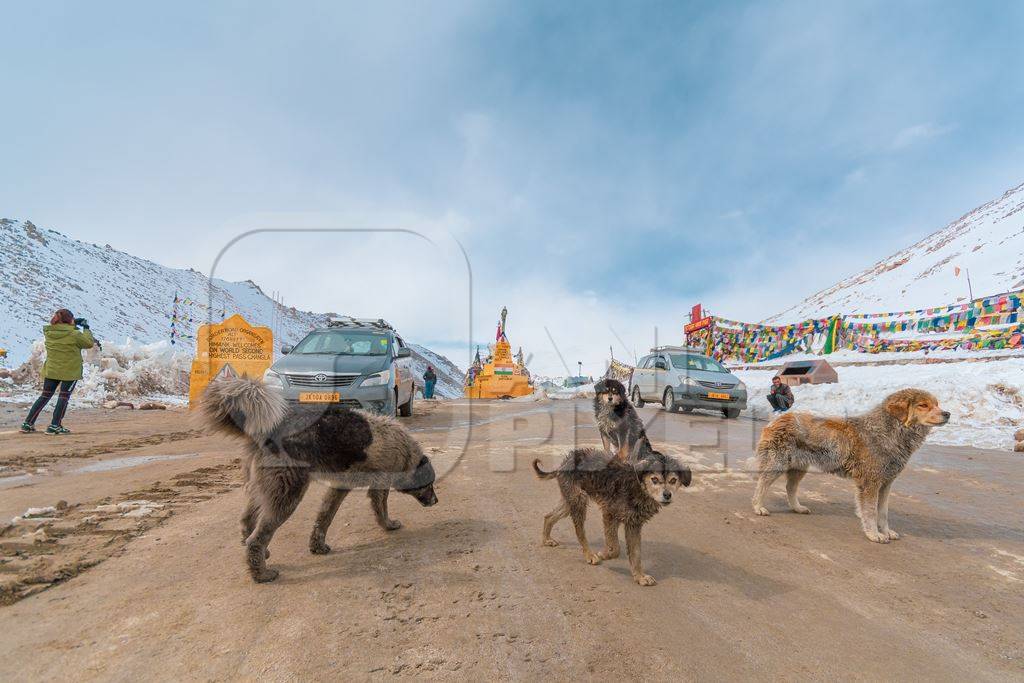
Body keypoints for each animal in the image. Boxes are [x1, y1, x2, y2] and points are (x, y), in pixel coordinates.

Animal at [749, 389, 946, 544]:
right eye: (923, 405)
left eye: (937, 404)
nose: (947, 414)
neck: (889, 431)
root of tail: (778, 418)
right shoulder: (870, 483)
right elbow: (871, 512)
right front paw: (874, 534)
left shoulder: (886, 484)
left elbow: (883, 512)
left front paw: (886, 531)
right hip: (777, 463)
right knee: (762, 484)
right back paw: (758, 507)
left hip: (799, 467)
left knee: (790, 487)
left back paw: (797, 508)